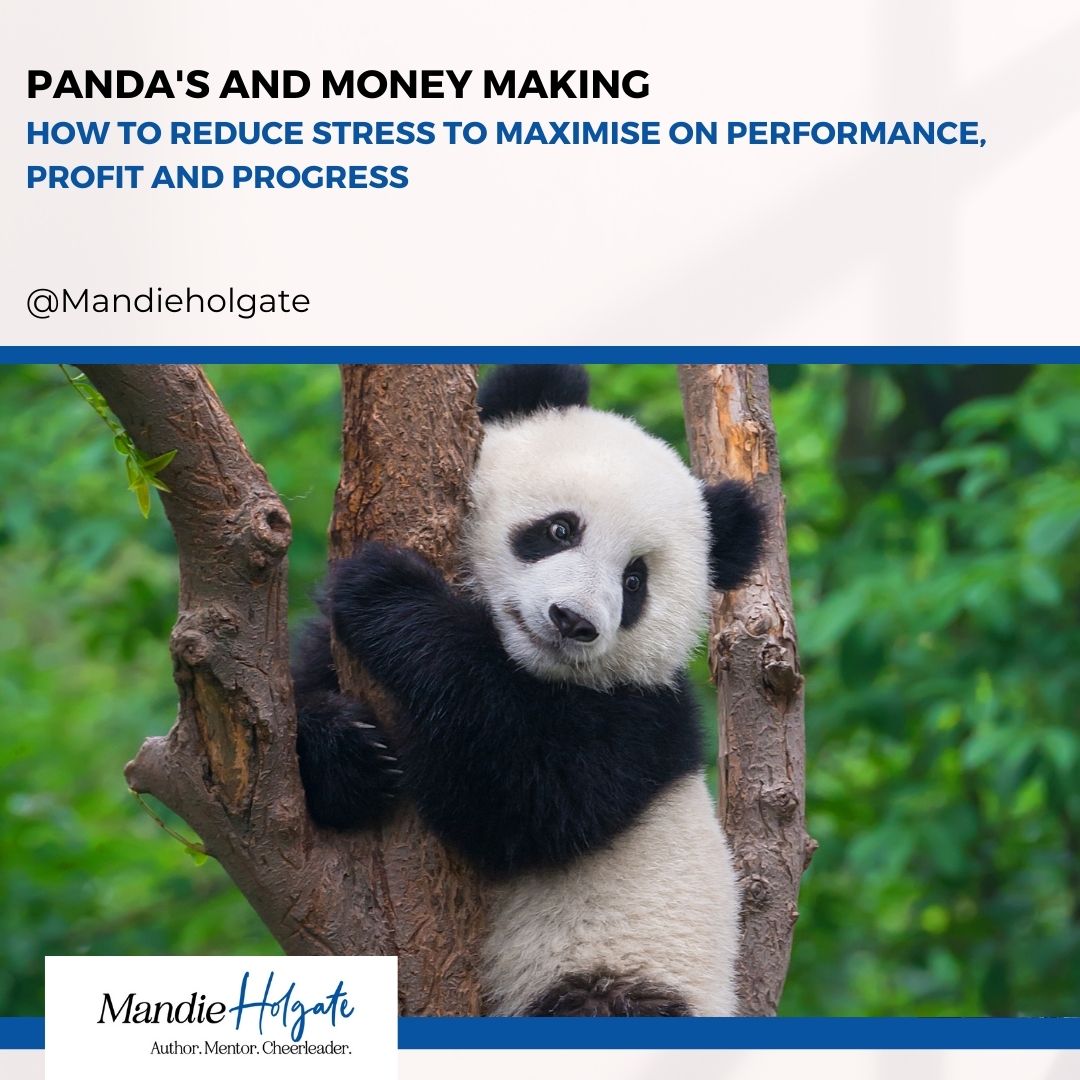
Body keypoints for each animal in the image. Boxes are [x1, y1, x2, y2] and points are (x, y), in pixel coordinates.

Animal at [293, 364, 765, 1016]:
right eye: (559, 529)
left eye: (635, 580)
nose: (572, 621)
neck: (525, 666)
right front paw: (347, 754)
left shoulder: (642, 721)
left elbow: (526, 797)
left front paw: (388, 593)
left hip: (622, 970)